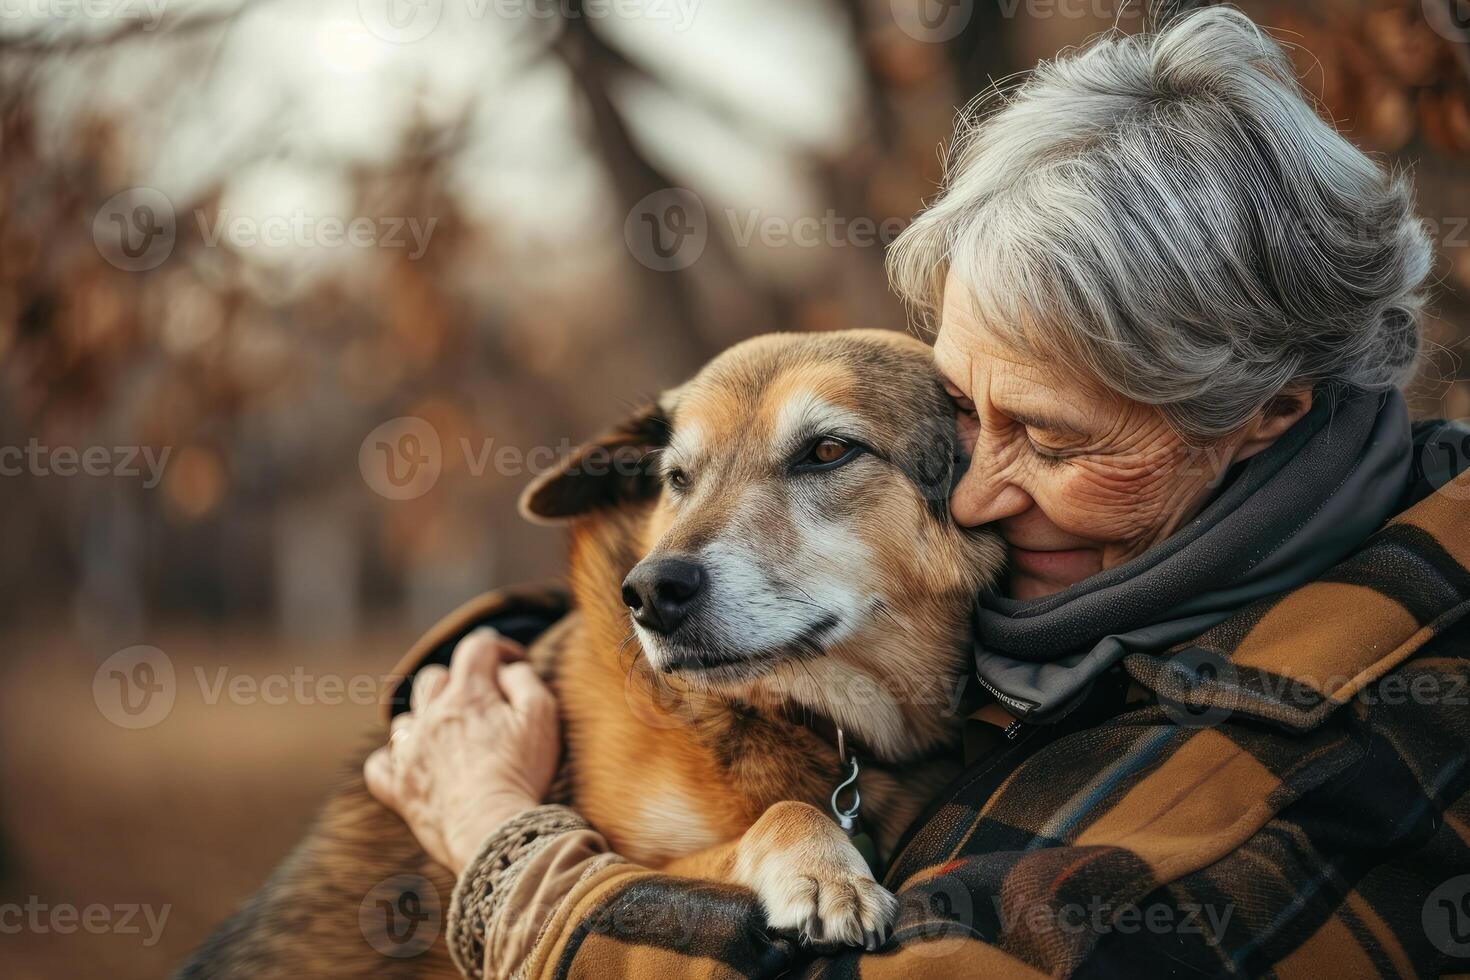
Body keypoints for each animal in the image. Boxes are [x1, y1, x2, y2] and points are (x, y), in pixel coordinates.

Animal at [174, 329, 999, 975]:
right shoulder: (638, 857)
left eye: (828, 451)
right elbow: (785, 813)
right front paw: (828, 873)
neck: (816, 719)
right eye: (676, 478)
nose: (652, 592)